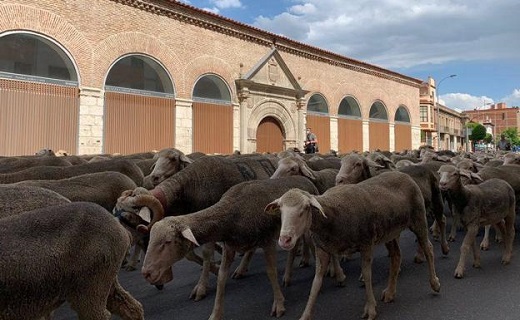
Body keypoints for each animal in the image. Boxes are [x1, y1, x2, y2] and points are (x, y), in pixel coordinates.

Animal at [136, 176, 322, 318]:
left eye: (167, 241)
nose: (146, 273)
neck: (232, 214)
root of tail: (304, 180)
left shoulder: (268, 240)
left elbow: (271, 272)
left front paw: (279, 304)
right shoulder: (230, 246)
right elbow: (221, 278)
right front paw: (215, 314)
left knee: (305, 244)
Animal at [266, 171, 440, 320]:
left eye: (305, 208)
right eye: (280, 210)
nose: (285, 240)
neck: (330, 218)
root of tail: (403, 174)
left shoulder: (366, 243)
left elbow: (367, 275)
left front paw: (370, 309)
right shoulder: (322, 249)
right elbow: (316, 283)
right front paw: (306, 315)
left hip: (418, 218)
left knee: (429, 248)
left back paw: (435, 283)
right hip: (390, 231)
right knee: (396, 256)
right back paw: (390, 292)